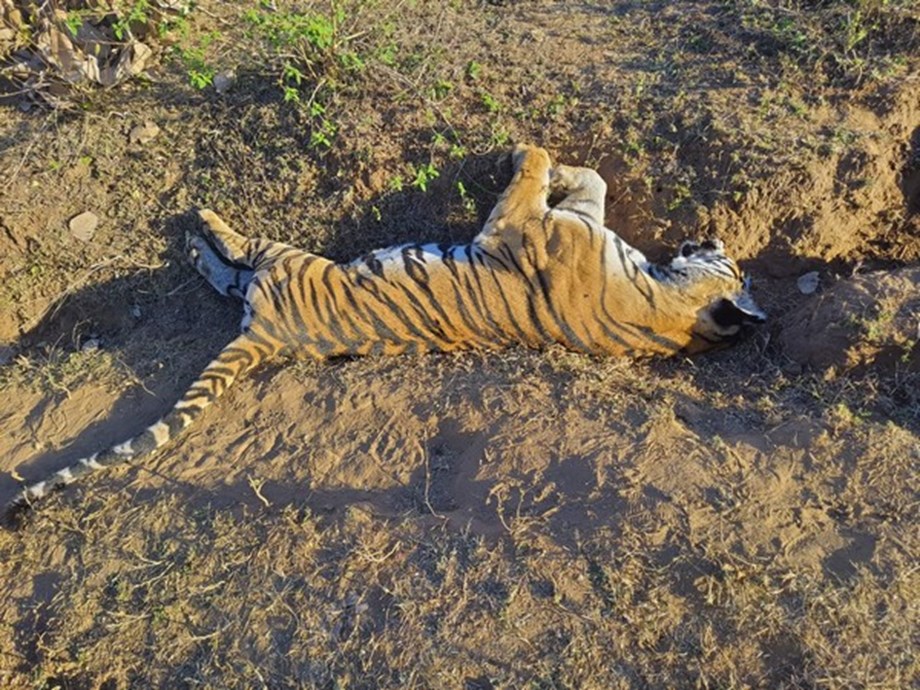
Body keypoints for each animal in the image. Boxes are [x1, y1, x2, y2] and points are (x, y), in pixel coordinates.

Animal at [7, 144, 765, 515]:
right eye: (730, 255)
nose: (710, 231)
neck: (667, 309)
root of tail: (272, 334)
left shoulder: (520, 222)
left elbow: (533, 175)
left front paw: (529, 149)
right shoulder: (578, 223)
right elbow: (594, 183)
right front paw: (567, 162)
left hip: (285, 263)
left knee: (238, 254)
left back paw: (201, 226)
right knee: (226, 273)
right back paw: (197, 242)